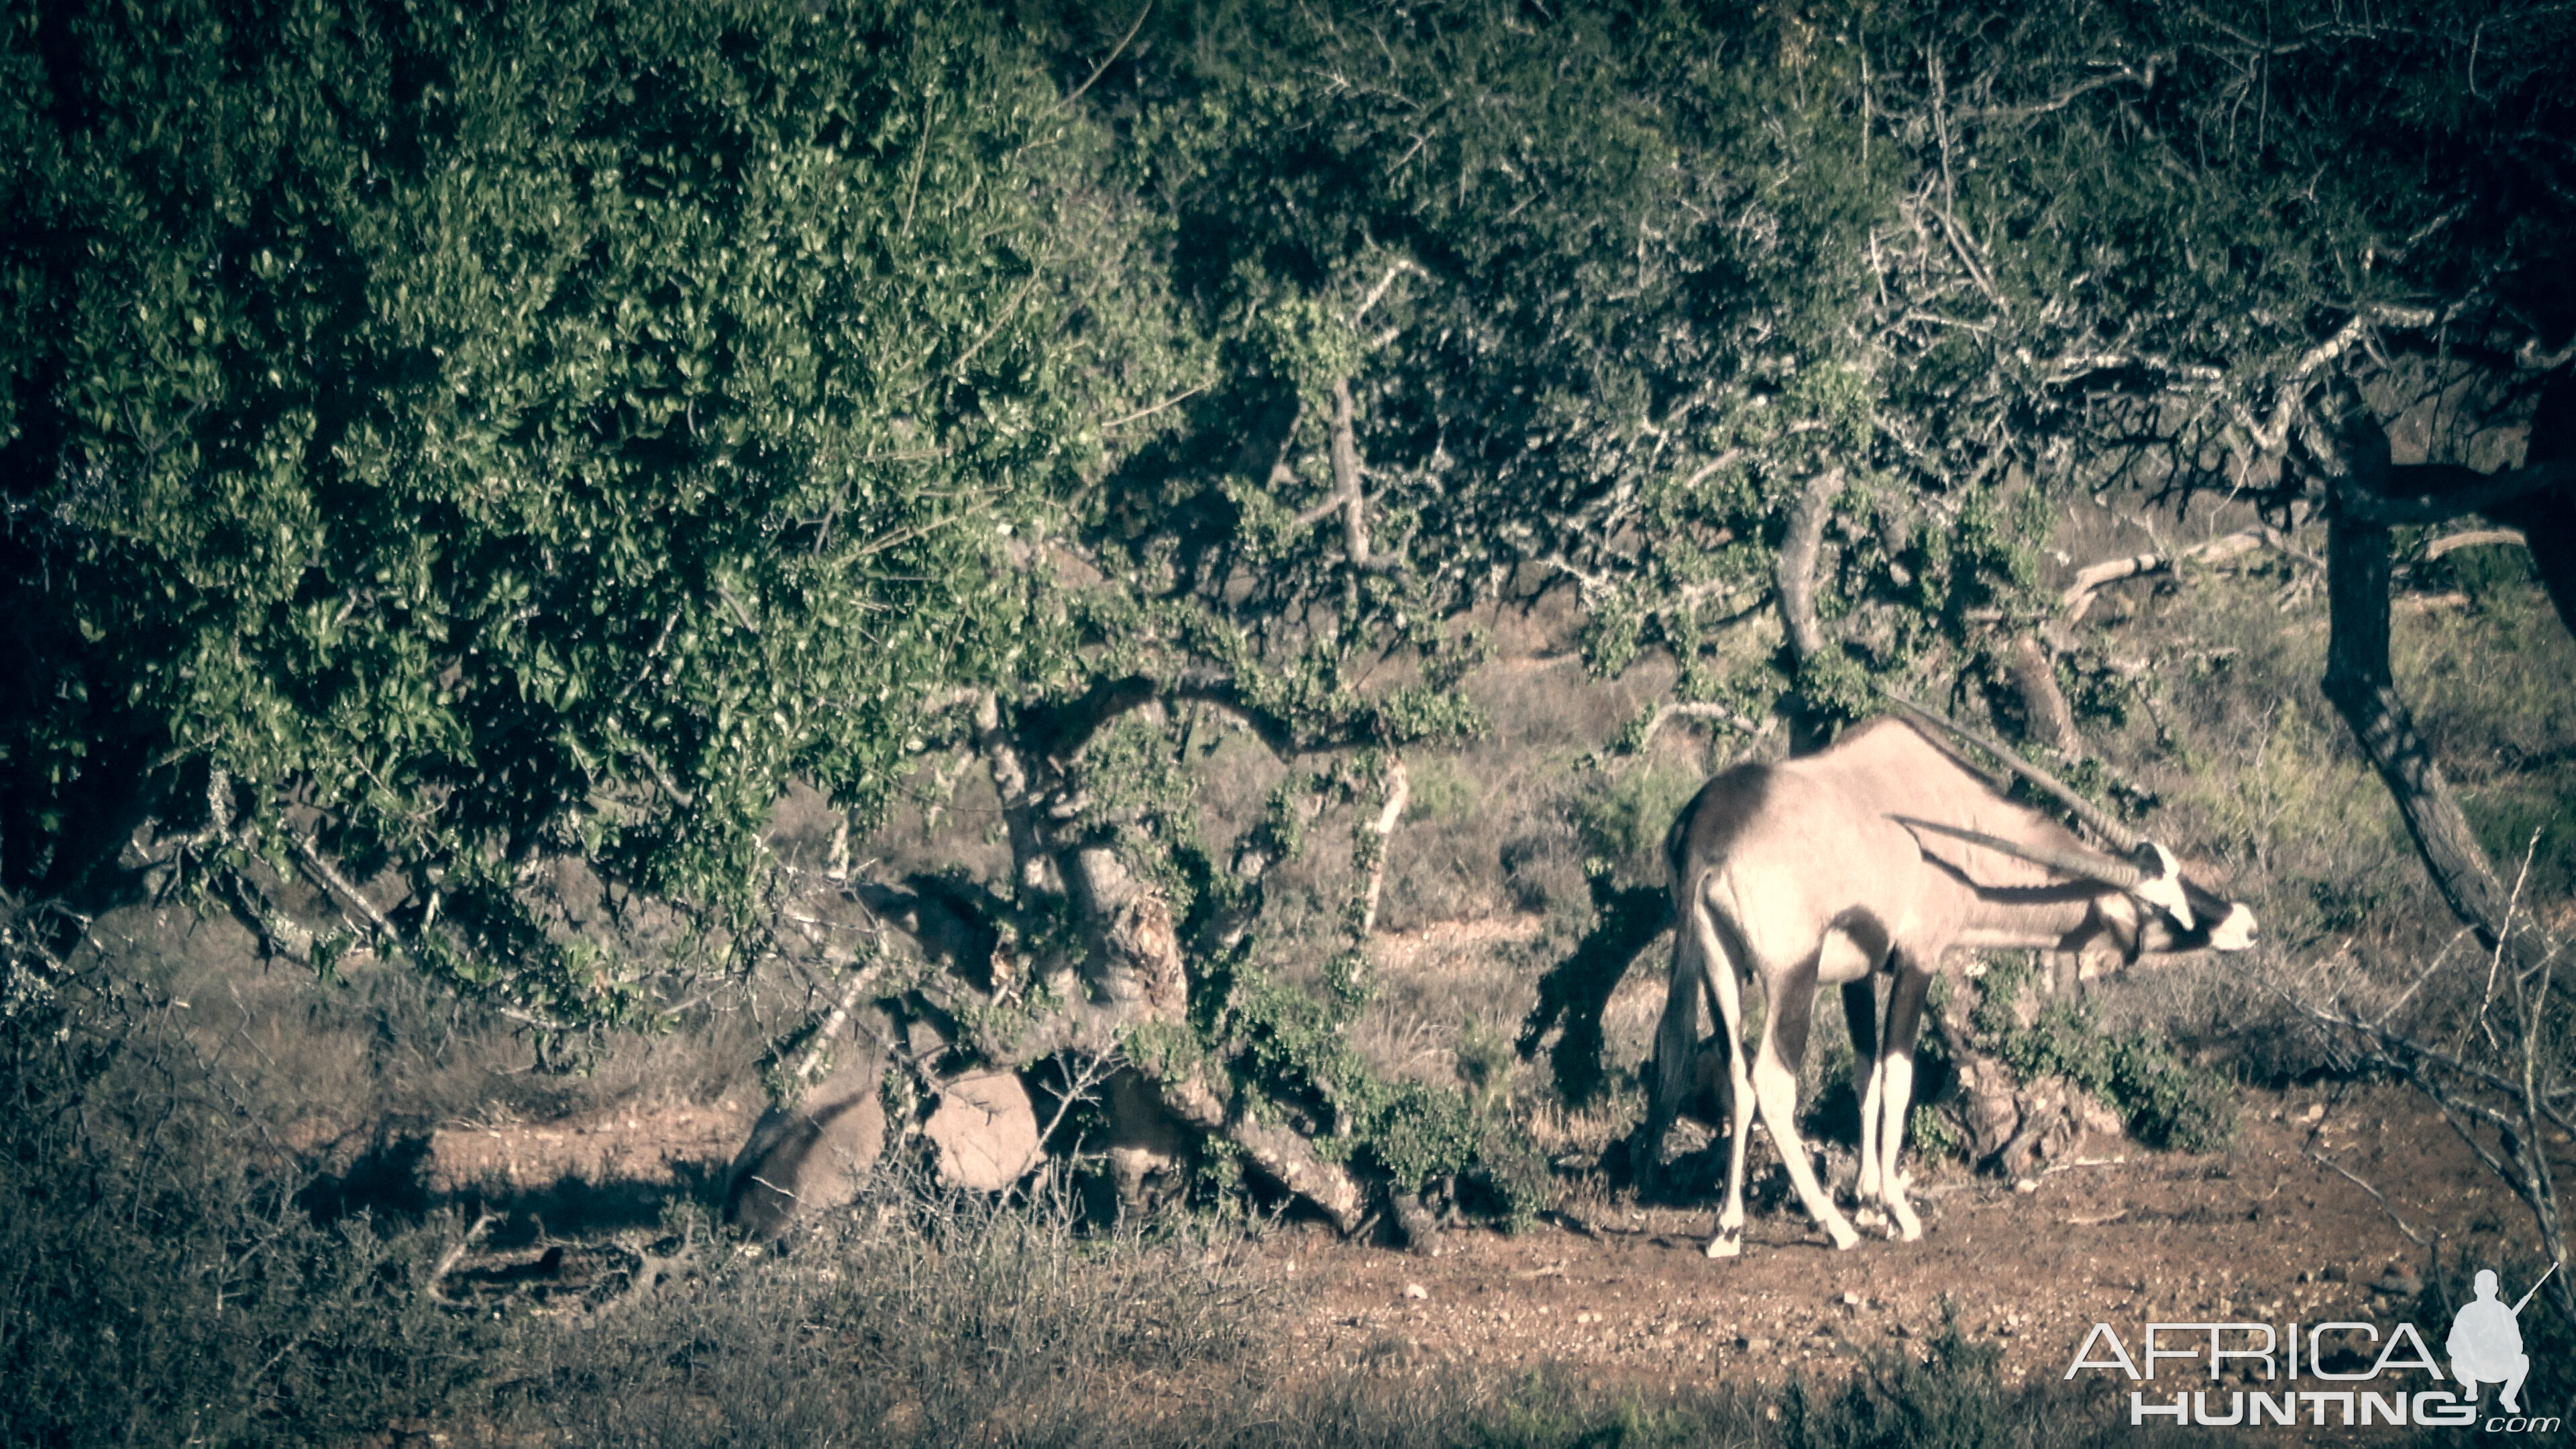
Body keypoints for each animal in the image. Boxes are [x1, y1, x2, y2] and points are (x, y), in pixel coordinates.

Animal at [1648, 711, 2256, 1252]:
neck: (1949, 814)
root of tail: (1712, 822)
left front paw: (1870, 1202)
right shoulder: (1919, 960)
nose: (2245, 924)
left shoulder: (1857, 974)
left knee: (1737, 1077)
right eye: (2163, 907)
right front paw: (1897, 1213)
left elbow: (1867, 1076)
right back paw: (1832, 1228)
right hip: (1790, 976)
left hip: (1721, 969)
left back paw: (1728, 1231)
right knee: (1772, 1083)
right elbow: (1898, 1078)